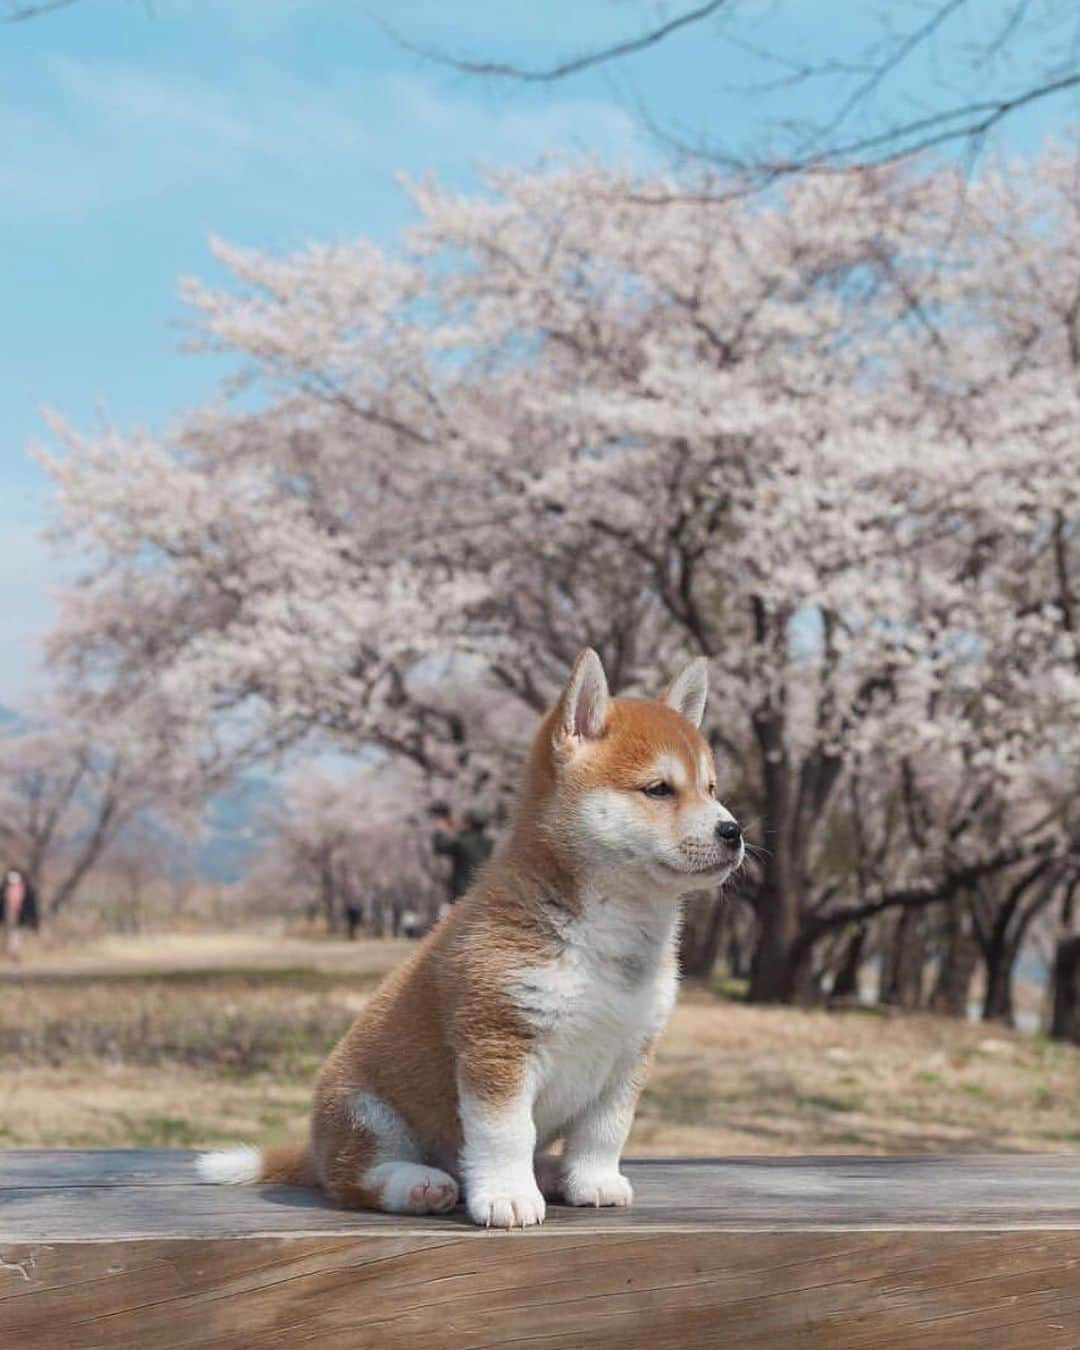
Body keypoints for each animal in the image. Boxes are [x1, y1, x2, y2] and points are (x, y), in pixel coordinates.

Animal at [198, 648, 745, 1231]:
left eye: (712, 789)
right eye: (659, 789)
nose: (734, 831)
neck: (610, 928)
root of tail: (314, 1148)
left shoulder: (629, 1052)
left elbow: (605, 1131)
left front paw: (592, 1181)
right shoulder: (497, 1040)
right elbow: (506, 1133)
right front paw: (507, 1196)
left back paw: (549, 1174)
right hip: (365, 1110)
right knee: (353, 1177)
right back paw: (420, 1184)